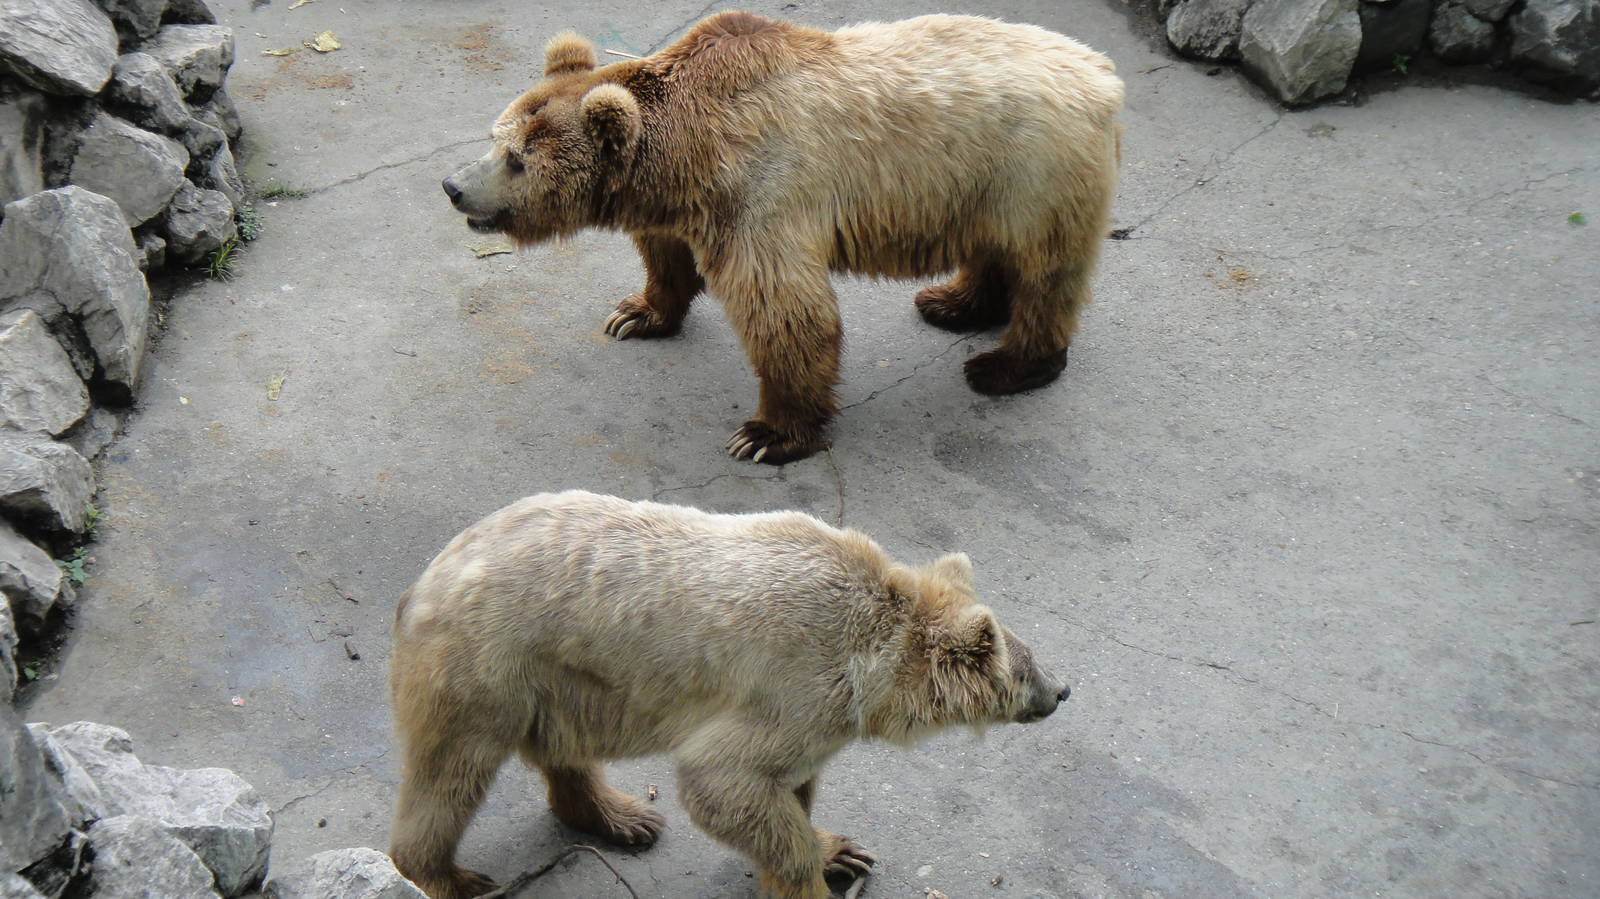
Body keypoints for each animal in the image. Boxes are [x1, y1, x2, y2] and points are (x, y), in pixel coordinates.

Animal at [387, 490, 1069, 899]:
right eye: (1026, 667)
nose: (1063, 689)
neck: (871, 668)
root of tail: (421, 583)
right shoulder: (796, 685)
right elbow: (723, 780)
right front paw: (813, 873)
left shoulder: (817, 718)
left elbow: (790, 785)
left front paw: (839, 850)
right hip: (485, 668)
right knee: (450, 776)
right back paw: (449, 877)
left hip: (560, 682)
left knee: (559, 748)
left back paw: (622, 815)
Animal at [442, 12, 1124, 464]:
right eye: (495, 136)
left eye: (518, 160)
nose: (454, 186)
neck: (689, 154)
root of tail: (1105, 74)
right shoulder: (682, 204)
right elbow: (665, 255)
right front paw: (636, 312)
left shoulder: (762, 194)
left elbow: (786, 312)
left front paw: (766, 434)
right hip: (982, 183)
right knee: (997, 250)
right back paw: (953, 303)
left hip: (1034, 170)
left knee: (1046, 272)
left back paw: (1007, 364)